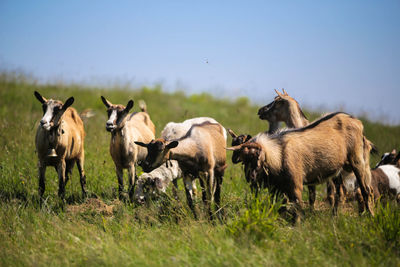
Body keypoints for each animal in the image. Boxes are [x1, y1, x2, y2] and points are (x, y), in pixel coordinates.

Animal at [228, 112, 376, 223]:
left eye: (257, 156)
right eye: (244, 160)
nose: (250, 178)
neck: (279, 154)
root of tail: (357, 122)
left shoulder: (296, 185)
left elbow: (297, 207)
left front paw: (297, 226)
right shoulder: (276, 187)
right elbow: (278, 206)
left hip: (357, 161)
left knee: (366, 190)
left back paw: (371, 216)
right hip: (338, 171)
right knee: (340, 193)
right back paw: (334, 218)